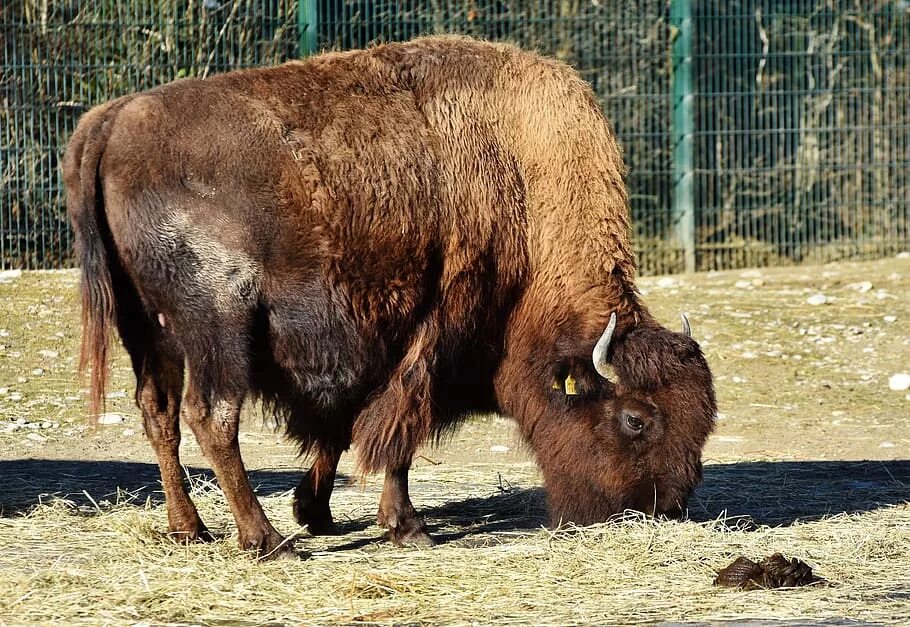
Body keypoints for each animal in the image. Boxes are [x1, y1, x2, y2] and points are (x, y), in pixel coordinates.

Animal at [64, 34, 720, 556]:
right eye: (635, 419)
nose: (662, 507)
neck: (523, 187)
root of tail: (112, 121)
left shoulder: (370, 346)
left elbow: (344, 426)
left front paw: (318, 511)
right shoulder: (432, 336)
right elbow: (399, 429)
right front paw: (407, 527)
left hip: (150, 333)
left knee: (159, 414)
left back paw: (191, 530)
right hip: (218, 327)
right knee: (212, 416)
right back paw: (267, 541)